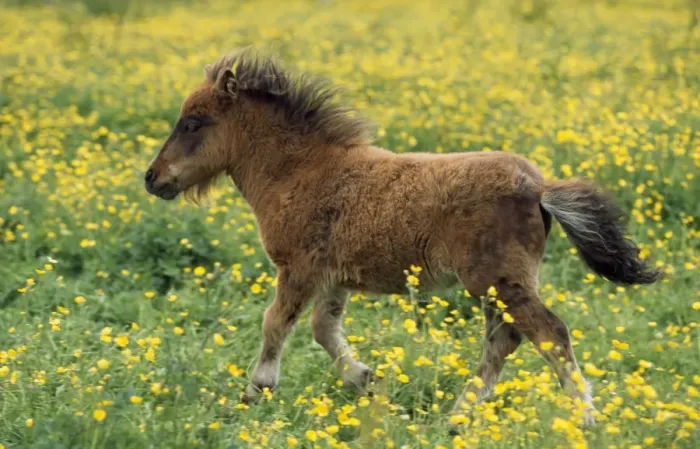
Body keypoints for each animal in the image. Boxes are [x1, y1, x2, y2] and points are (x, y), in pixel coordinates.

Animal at [144, 48, 659, 427]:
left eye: (192, 123)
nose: (152, 178)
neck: (300, 171)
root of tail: (539, 187)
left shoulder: (298, 268)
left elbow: (276, 324)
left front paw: (256, 392)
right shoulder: (333, 278)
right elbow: (323, 330)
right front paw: (367, 380)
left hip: (497, 280)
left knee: (547, 333)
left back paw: (585, 419)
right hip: (498, 286)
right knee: (505, 338)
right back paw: (457, 418)